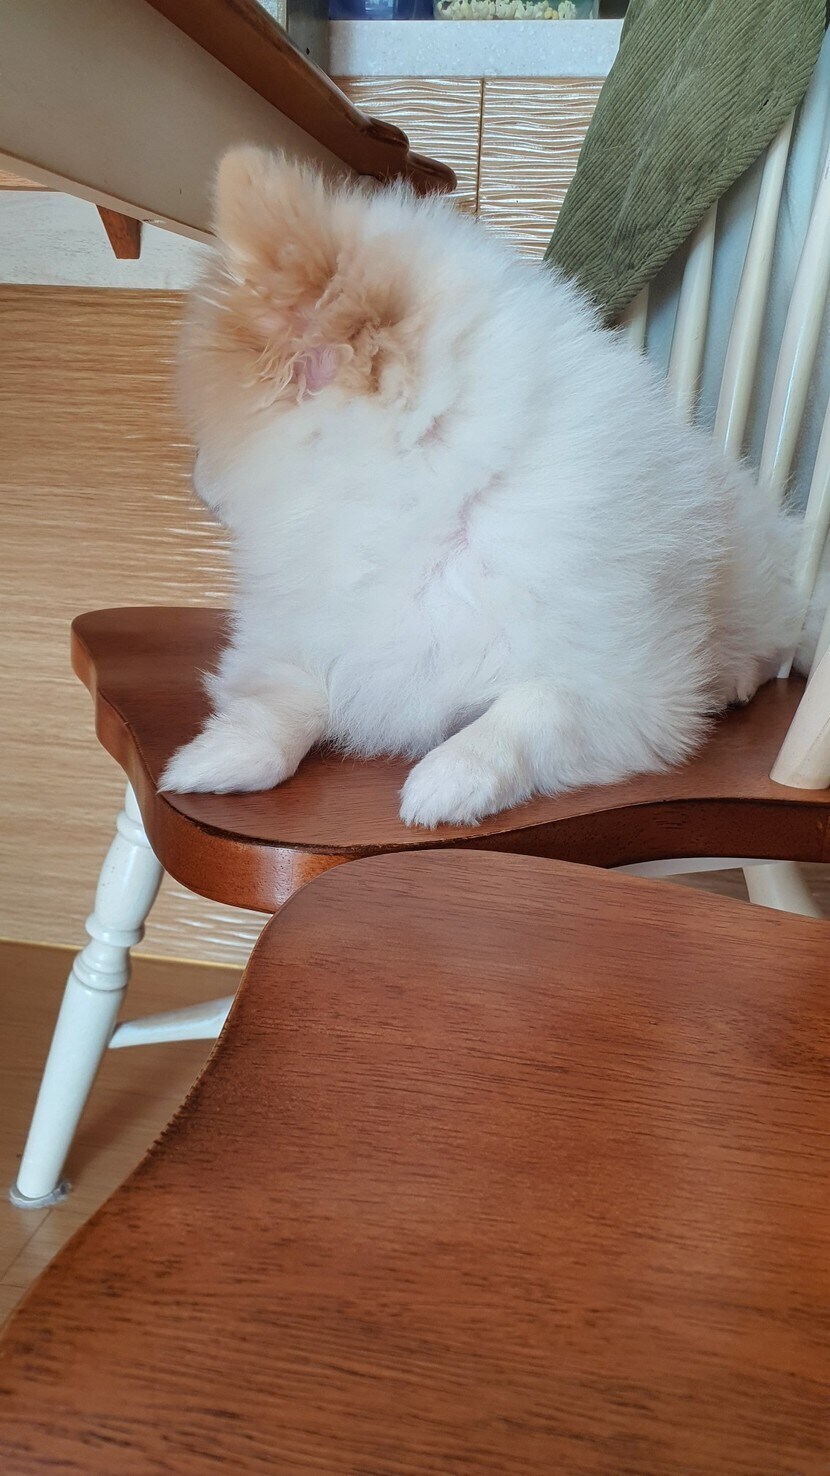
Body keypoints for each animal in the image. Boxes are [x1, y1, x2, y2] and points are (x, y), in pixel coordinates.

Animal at [160, 147, 808, 828]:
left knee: (770, 642)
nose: (195, 475)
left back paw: (735, 677)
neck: (426, 511)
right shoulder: (305, 637)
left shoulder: (629, 692)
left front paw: (451, 776)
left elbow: (533, 708)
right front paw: (222, 756)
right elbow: (289, 694)